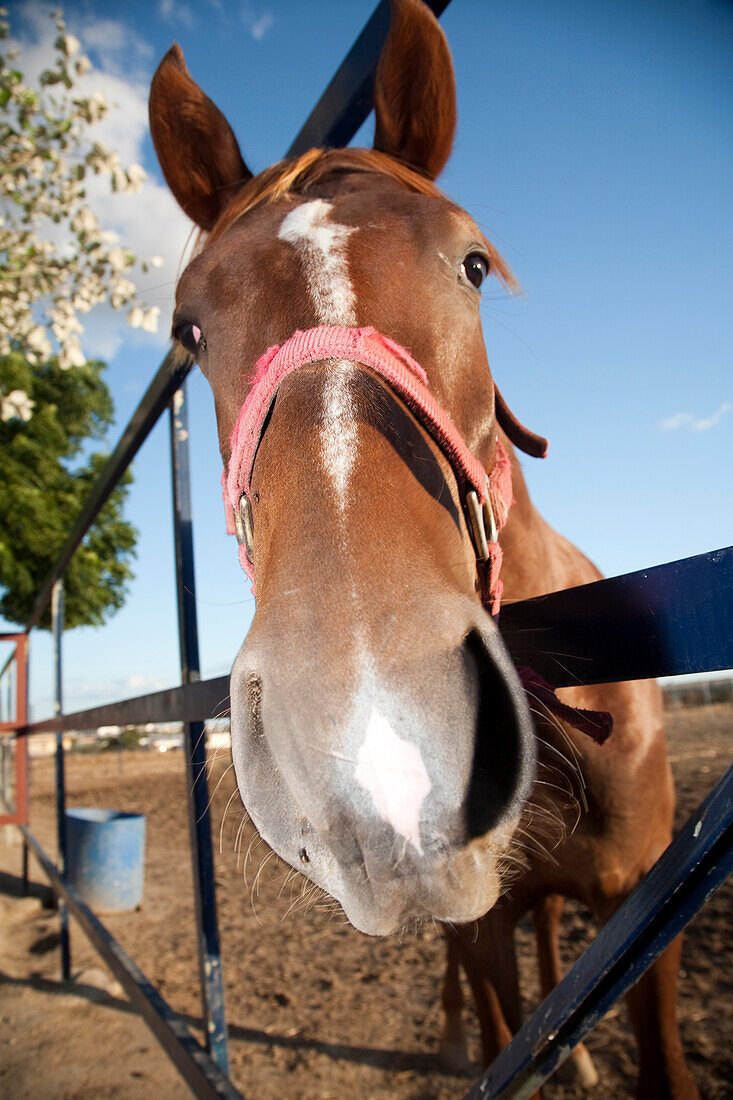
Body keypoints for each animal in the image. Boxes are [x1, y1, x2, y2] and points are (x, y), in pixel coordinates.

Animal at [147, 0, 695, 1095]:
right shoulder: (480, 930)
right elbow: (496, 1017)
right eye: (189, 326)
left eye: (473, 263)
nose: (376, 740)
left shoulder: (642, 907)